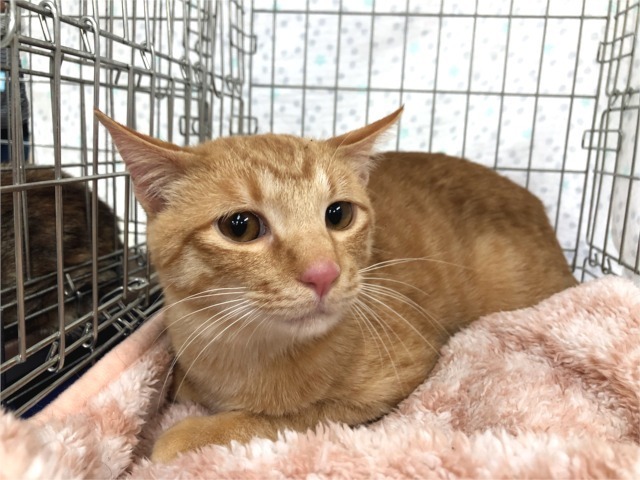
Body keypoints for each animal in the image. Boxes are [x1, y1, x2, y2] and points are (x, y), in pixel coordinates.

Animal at [95, 107, 577, 463]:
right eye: (241, 226)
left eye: (339, 214)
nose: (323, 272)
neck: (239, 356)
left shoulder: (394, 382)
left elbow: (292, 417)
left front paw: (192, 433)